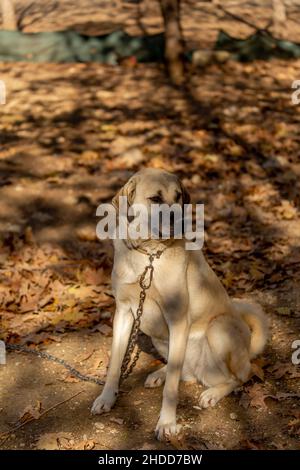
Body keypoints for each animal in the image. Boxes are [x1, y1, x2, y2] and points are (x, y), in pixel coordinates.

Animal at [91, 169, 268, 440]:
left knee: (240, 376)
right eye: (155, 198)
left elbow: (172, 389)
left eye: (179, 197)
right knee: (184, 371)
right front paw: (107, 397)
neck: (148, 255)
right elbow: (115, 364)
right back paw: (159, 374)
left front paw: (166, 423)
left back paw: (212, 393)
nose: (183, 221)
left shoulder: (177, 319)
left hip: (218, 330)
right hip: (161, 339)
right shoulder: (123, 313)